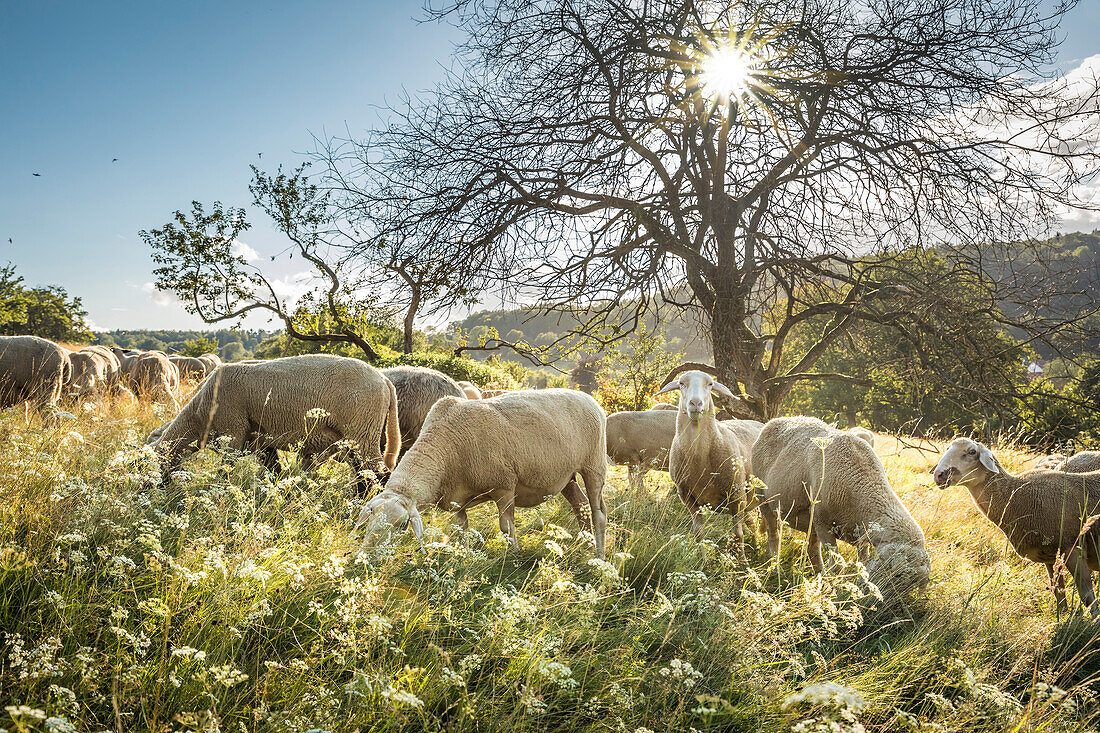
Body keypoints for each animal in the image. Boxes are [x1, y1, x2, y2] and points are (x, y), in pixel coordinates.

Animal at [150, 354, 400, 490]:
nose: (150, 490)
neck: (198, 417)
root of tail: (384, 380)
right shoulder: (261, 442)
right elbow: (274, 471)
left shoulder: (233, 433)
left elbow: (225, 470)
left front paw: (217, 490)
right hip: (358, 436)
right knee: (364, 474)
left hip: (362, 430)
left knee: (379, 475)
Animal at [356, 387, 611, 554]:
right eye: (370, 519)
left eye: (402, 525)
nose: (365, 557)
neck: (445, 447)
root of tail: (590, 399)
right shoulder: (456, 500)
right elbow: (461, 529)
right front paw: (463, 554)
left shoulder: (504, 487)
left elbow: (506, 528)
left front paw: (513, 557)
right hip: (566, 476)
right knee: (581, 506)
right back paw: (584, 546)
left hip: (594, 466)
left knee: (598, 513)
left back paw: (598, 554)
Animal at [651, 367, 756, 556]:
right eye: (681, 383)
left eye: (710, 384)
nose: (695, 403)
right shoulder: (687, 497)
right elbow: (698, 532)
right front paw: (702, 558)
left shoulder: (737, 496)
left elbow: (737, 535)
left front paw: (742, 562)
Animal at [756, 416, 928, 594]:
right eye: (897, 575)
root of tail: (774, 421)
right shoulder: (824, 525)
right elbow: (837, 566)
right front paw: (835, 591)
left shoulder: (860, 535)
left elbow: (863, 563)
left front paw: (857, 584)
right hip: (763, 499)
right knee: (773, 535)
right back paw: (776, 566)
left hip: (811, 520)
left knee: (812, 548)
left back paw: (819, 575)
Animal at [932, 435, 1100, 611]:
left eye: (972, 452)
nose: (939, 475)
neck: (1017, 497)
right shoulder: (1050, 557)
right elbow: (1059, 596)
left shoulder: (1073, 548)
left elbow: (1088, 598)